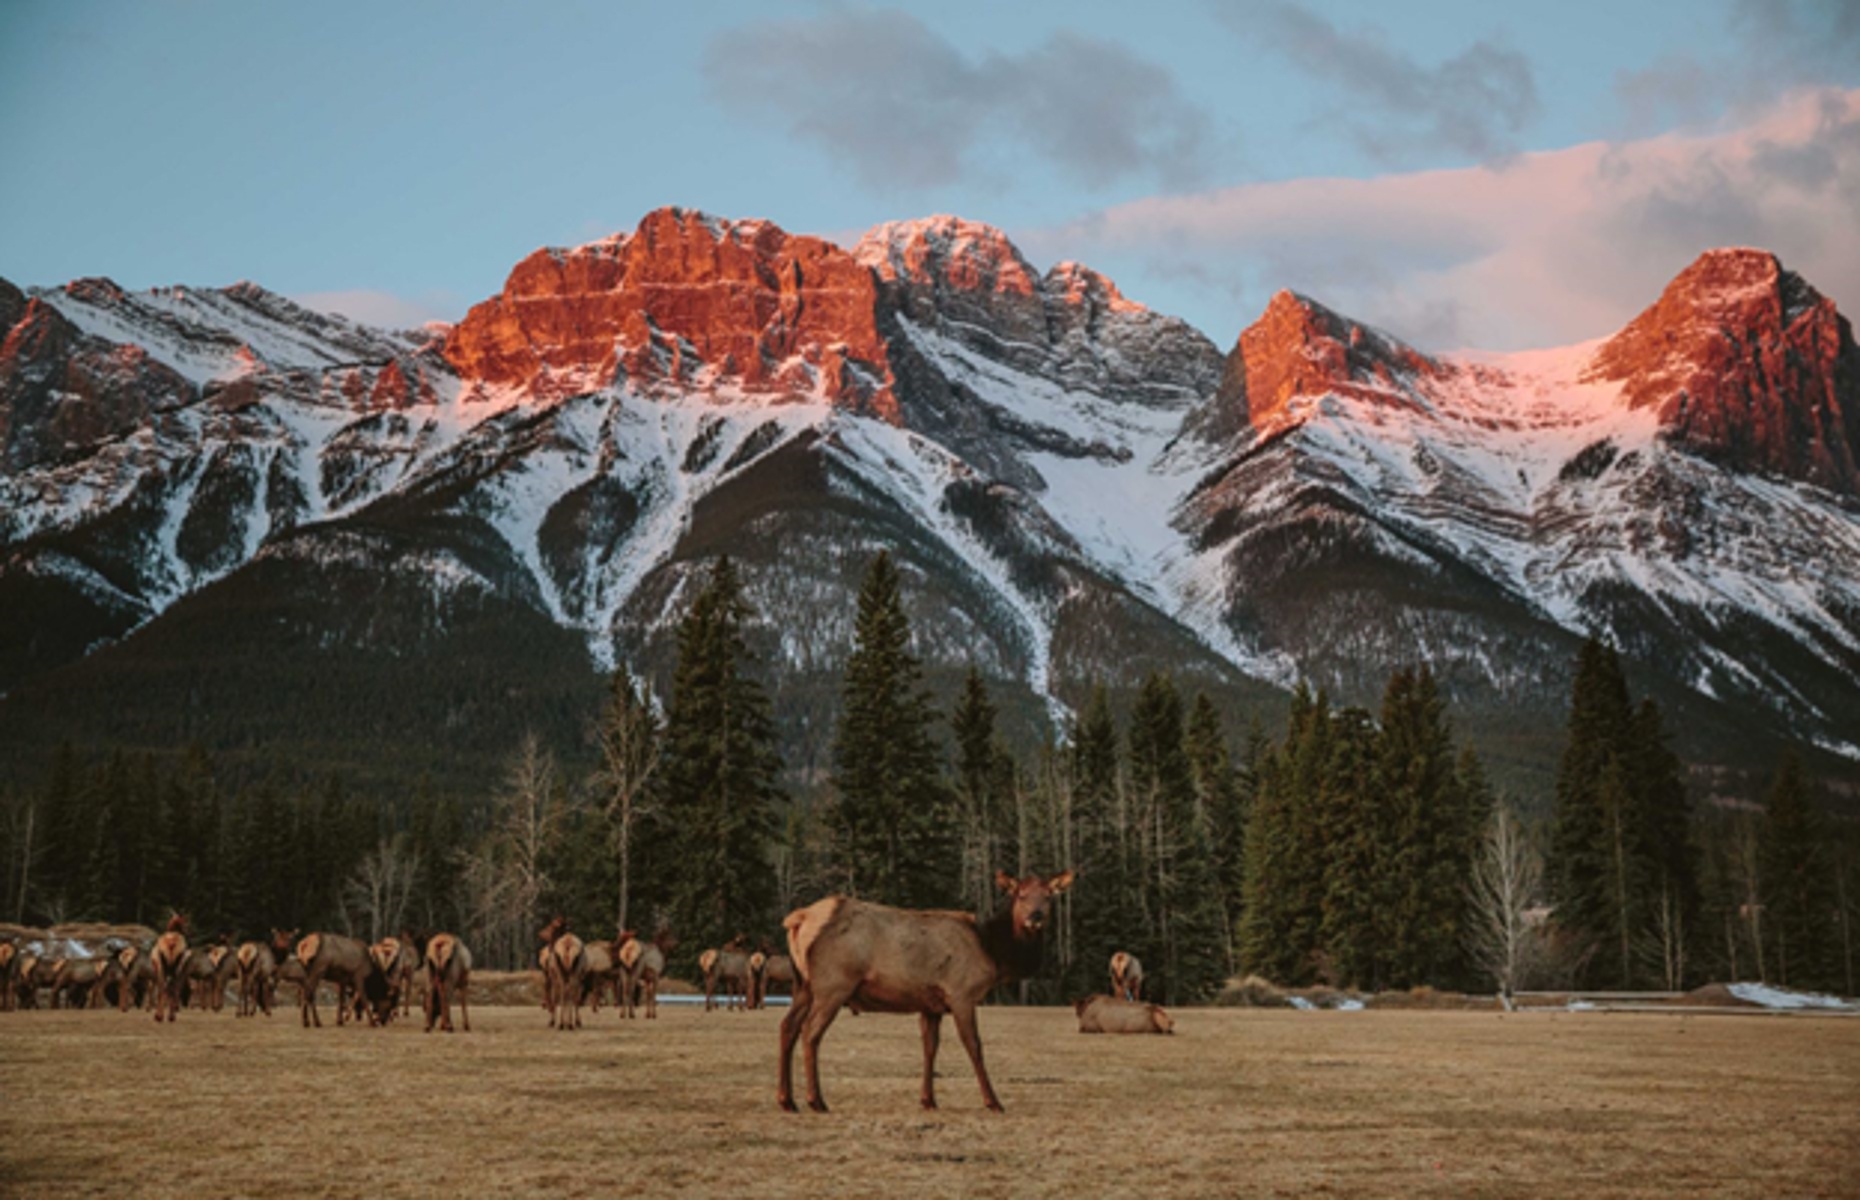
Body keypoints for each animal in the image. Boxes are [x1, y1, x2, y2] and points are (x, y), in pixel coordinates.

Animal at [777, 859, 1078, 1116]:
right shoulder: (961, 993)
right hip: (833, 984)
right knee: (810, 1031)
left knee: (788, 1026)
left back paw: (787, 1100)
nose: (1036, 916)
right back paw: (816, 1101)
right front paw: (993, 1102)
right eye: (1021, 895)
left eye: (1049, 895)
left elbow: (930, 1047)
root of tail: (799, 919)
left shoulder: (930, 1004)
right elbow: (974, 1046)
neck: (993, 953)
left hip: (802, 986)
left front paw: (928, 1100)